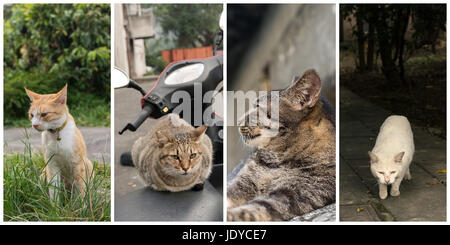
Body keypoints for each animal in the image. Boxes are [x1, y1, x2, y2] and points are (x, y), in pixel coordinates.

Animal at [227, 70, 336, 221]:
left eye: (258, 110)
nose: (238, 122)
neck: (276, 161)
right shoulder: (241, 184)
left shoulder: (290, 195)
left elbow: (250, 210)